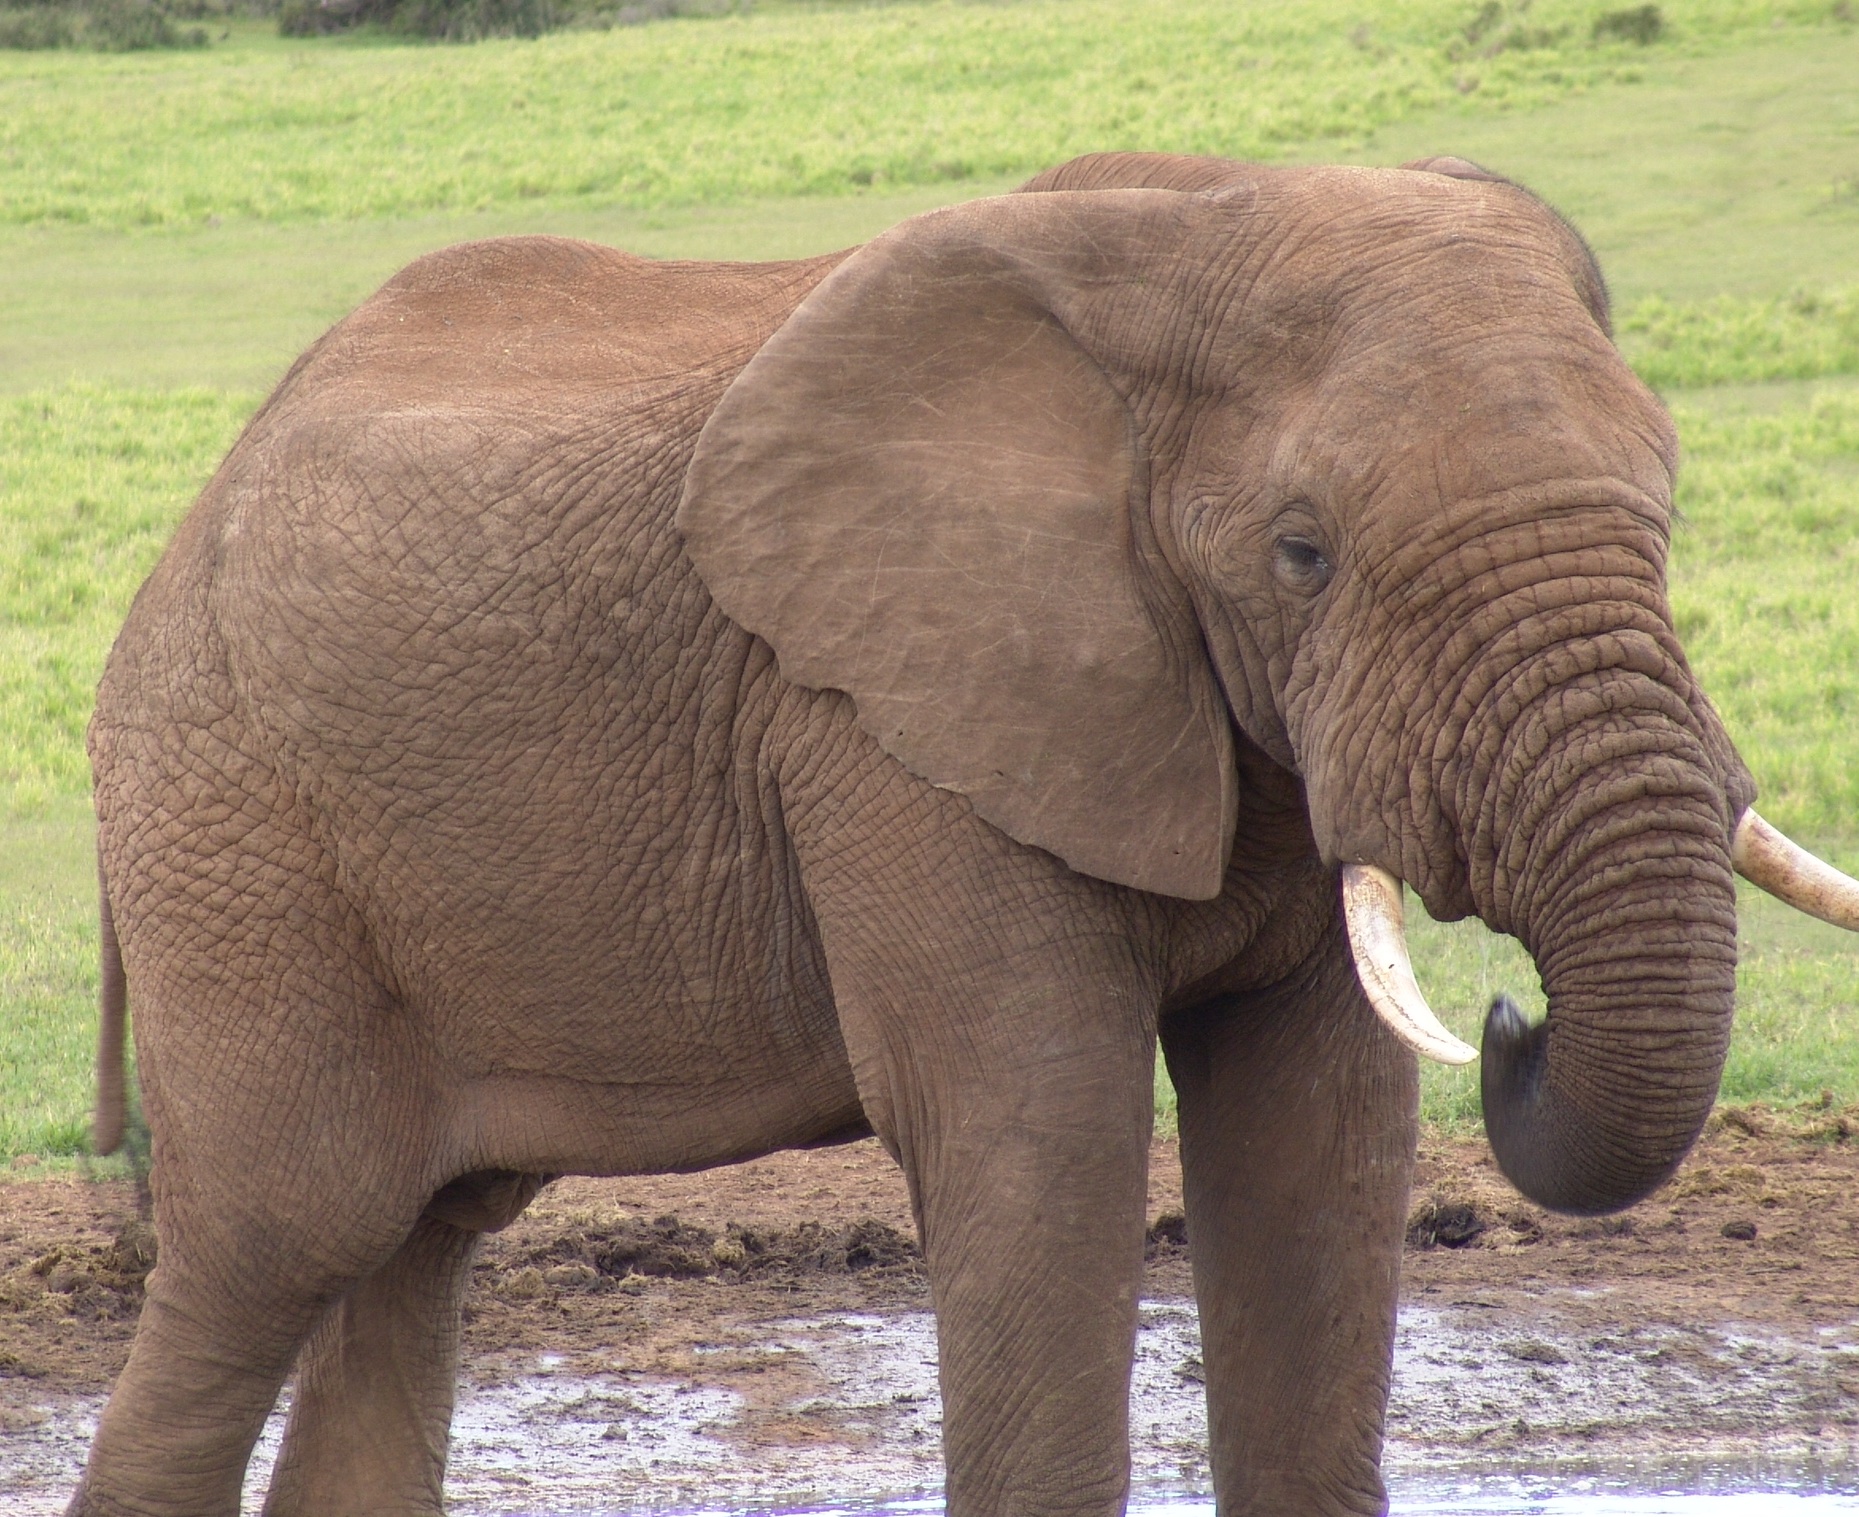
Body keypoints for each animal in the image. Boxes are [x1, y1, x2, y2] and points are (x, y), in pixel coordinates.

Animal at [72, 151, 1859, 1517]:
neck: (1190, 232)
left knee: (414, 1254)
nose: (1507, 1015)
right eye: (1300, 553)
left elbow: (1317, 1132)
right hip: (228, 826)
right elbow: (1039, 1132)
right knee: (278, 1240)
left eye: (1666, 502)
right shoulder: (886, 722)